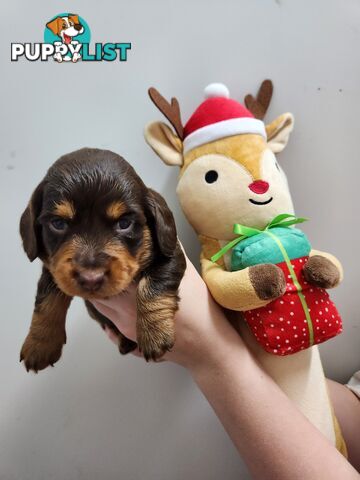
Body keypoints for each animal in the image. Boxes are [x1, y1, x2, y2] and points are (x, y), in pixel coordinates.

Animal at [20, 146, 186, 372]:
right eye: (58, 223)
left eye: (124, 223)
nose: (91, 279)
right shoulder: (53, 270)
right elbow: (46, 301)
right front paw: (39, 345)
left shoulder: (171, 253)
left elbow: (153, 285)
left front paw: (154, 332)